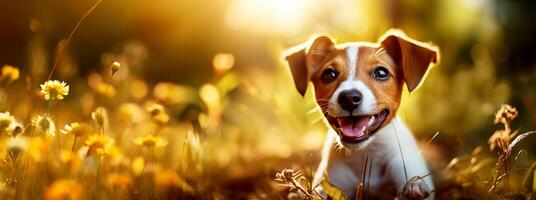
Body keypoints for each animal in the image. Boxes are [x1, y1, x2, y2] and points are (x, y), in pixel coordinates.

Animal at [284, 28, 440, 199]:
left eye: (381, 72)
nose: (349, 98)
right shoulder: (331, 184)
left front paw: (414, 185)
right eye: (329, 74)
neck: (366, 153)